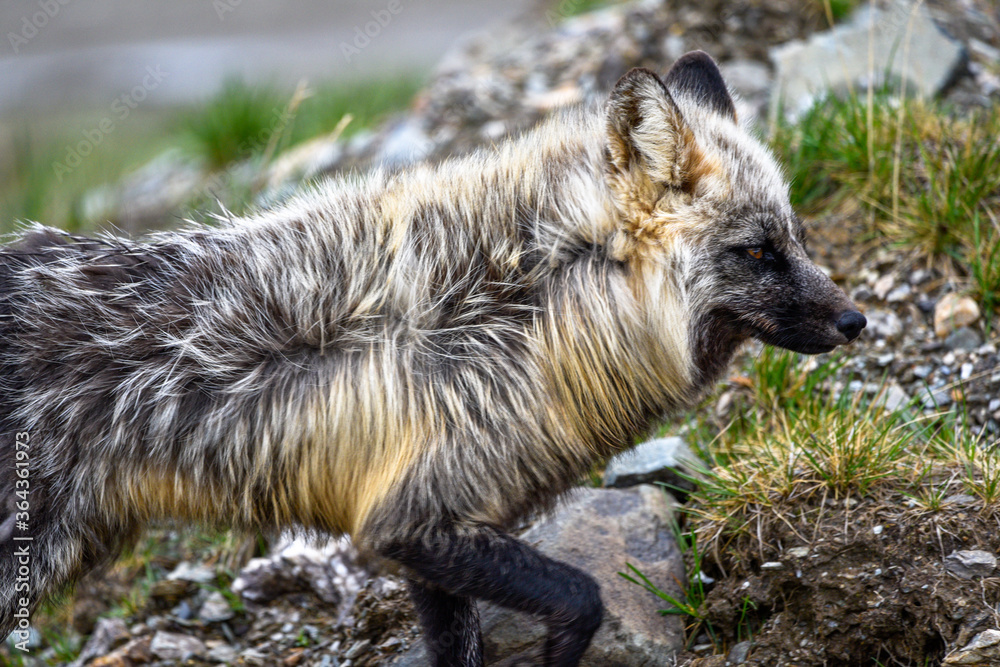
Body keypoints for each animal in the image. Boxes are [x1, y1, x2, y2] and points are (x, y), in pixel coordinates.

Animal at [0, 51, 864, 665]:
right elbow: (582, 597)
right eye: (758, 251)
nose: (855, 319)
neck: (526, 310)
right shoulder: (412, 520)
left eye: (796, 237)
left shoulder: (427, 529)